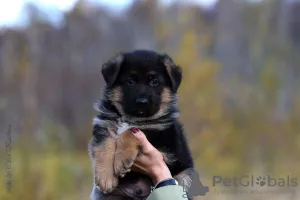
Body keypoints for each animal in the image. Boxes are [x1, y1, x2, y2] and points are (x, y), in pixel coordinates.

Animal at [88, 50, 195, 200]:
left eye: (154, 82)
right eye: (130, 81)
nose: (142, 102)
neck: (132, 118)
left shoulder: (167, 146)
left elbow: (132, 131)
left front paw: (121, 159)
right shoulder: (103, 126)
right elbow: (103, 147)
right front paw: (105, 177)